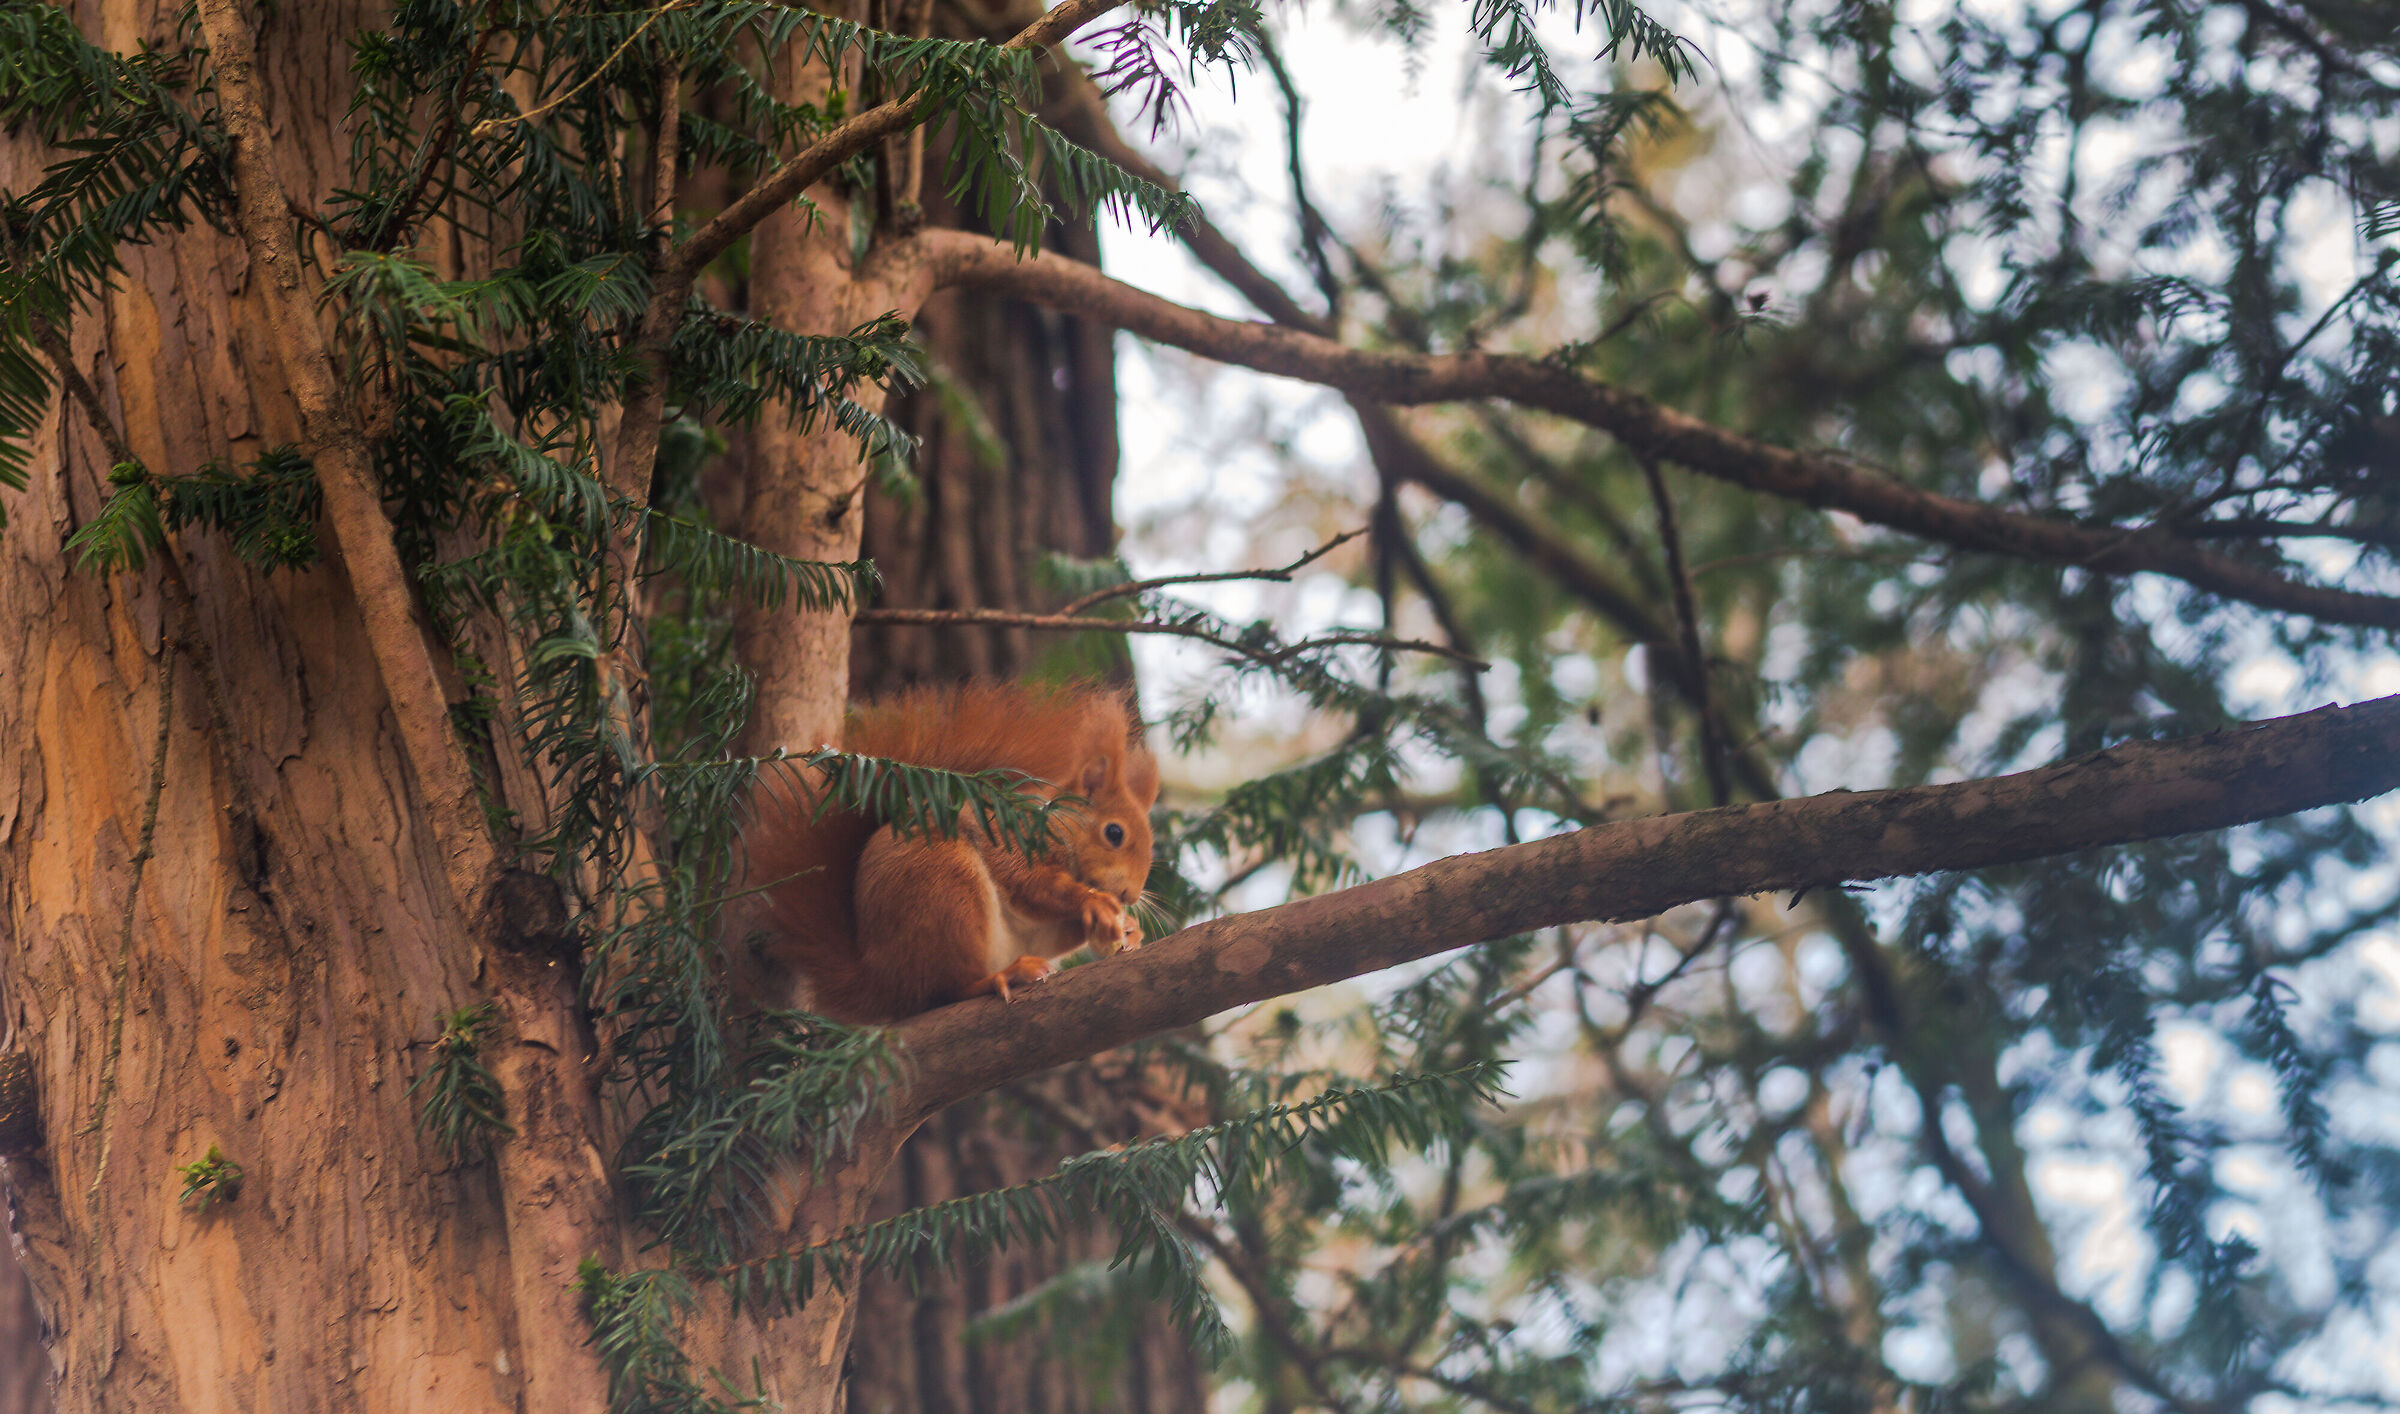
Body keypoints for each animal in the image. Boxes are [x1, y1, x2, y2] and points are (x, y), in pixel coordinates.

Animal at [743, 680, 1161, 1023]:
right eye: (1114, 833)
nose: (1130, 895)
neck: (1057, 829)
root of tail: (881, 981)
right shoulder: (1009, 840)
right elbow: (1034, 886)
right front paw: (1094, 902)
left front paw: (1127, 927)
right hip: (945, 891)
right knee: (946, 990)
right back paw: (1003, 976)